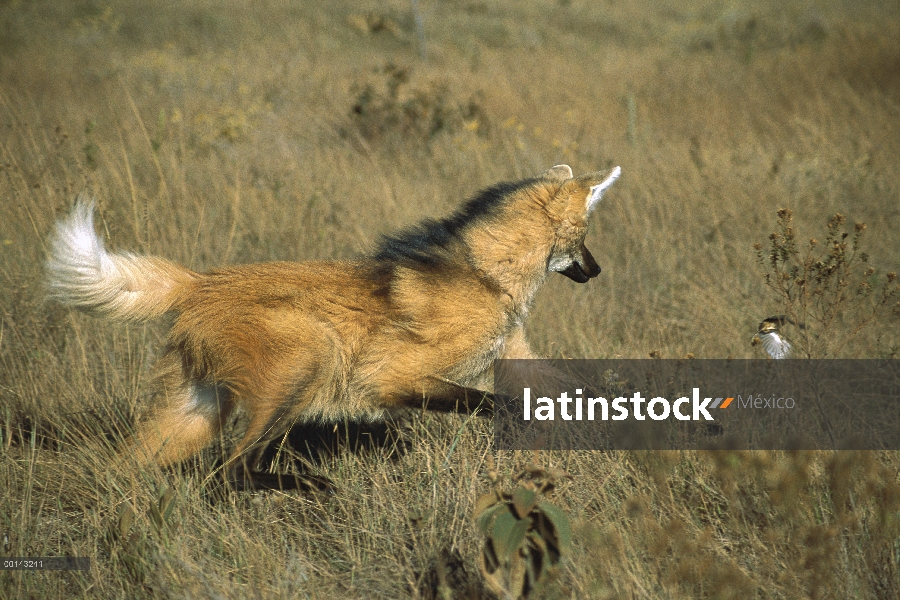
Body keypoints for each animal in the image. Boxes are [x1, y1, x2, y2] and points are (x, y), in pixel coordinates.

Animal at [47, 164, 620, 488]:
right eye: (585, 234)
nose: (596, 270)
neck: (486, 273)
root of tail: (198, 281)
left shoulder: (511, 354)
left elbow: (571, 391)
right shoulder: (395, 377)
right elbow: (495, 402)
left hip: (195, 411)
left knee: (126, 467)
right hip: (310, 355)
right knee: (231, 469)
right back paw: (319, 488)